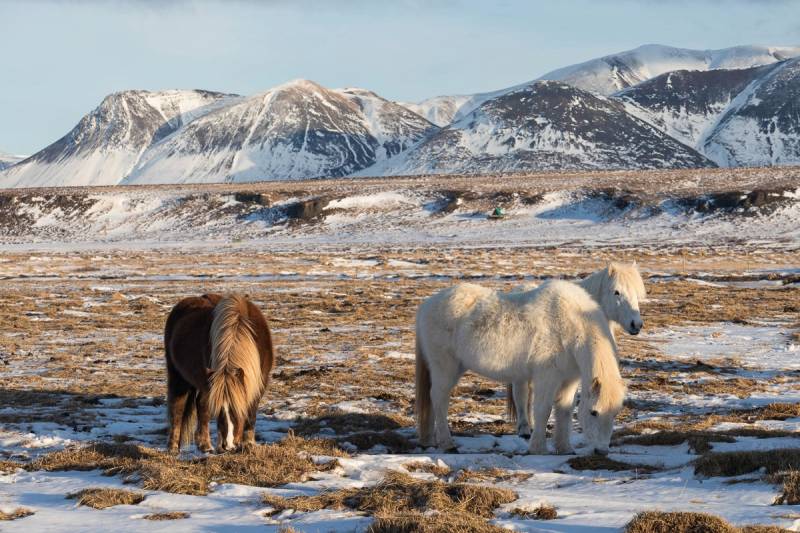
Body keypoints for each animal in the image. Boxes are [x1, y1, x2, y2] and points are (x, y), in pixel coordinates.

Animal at [164, 294, 274, 450]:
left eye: (236, 409)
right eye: (219, 410)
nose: (227, 445)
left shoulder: (260, 383)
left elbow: (251, 413)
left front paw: (248, 443)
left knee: (200, 405)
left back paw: (204, 444)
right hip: (178, 377)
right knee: (178, 408)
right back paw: (175, 447)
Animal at [416, 278, 628, 454]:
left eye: (615, 413)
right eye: (594, 412)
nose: (601, 451)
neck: (572, 327)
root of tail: (426, 305)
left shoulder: (569, 380)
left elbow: (564, 411)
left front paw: (565, 448)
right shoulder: (547, 376)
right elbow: (543, 409)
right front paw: (538, 449)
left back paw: (430, 440)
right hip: (445, 368)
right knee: (439, 399)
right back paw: (447, 443)